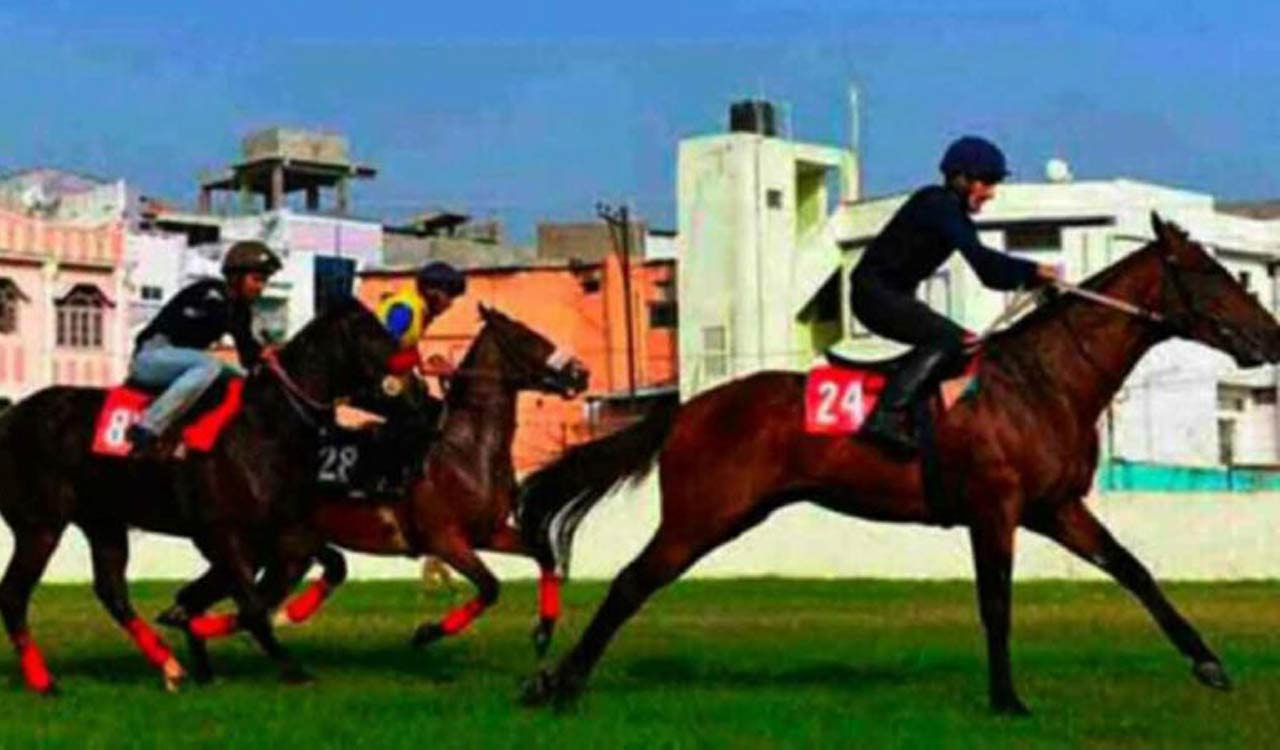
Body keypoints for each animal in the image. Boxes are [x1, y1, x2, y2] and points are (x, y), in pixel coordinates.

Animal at [0, 299, 396, 693]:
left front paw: (201, 633)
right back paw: (43, 681)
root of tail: (11, 414)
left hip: (104, 522)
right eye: (370, 331)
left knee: (112, 592)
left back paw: (171, 666)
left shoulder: (280, 529)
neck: (265, 425)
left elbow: (331, 565)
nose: (404, 370)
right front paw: (293, 668)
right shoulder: (222, 532)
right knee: (14, 594)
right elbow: (252, 606)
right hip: (40, 525)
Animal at [155, 305, 590, 681]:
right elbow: (489, 587)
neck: (464, 449)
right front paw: (426, 632)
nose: (580, 373)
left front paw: (544, 631)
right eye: (528, 337)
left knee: (205, 601)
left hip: (270, 552)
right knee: (236, 606)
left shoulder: (489, 532)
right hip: (267, 548)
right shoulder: (446, 540)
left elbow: (543, 554)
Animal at [516, 214, 1280, 714]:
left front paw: (1208, 661)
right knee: (629, 583)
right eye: (1210, 273)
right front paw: (1007, 699)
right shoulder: (995, 509)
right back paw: (558, 685)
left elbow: (1132, 569)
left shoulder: (1054, 507)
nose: (1270, 336)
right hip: (704, 515)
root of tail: (688, 408)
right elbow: (996, 602)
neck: (1044, 380)